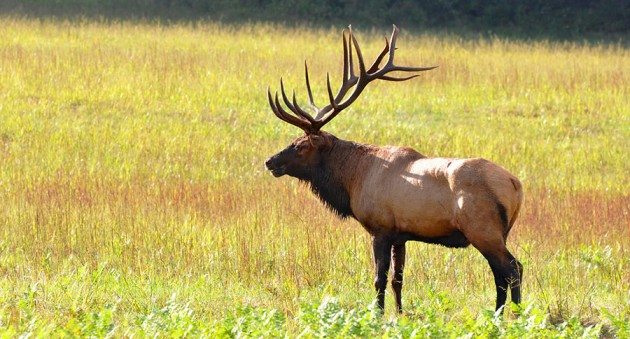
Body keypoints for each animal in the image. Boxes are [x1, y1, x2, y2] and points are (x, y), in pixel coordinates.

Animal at [264, 25, 524, 314]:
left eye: (300, 146)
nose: (270, 161)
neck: (352, 179)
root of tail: (515, 184)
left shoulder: (381, 229)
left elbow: (379, 278)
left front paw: (377, 314)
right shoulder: (402, 235)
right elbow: (398, 279)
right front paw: (399, 314)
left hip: (483, 229)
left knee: (513, 269)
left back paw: (515, 315)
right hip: (498, 233)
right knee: (500, 274)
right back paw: (498, 314)